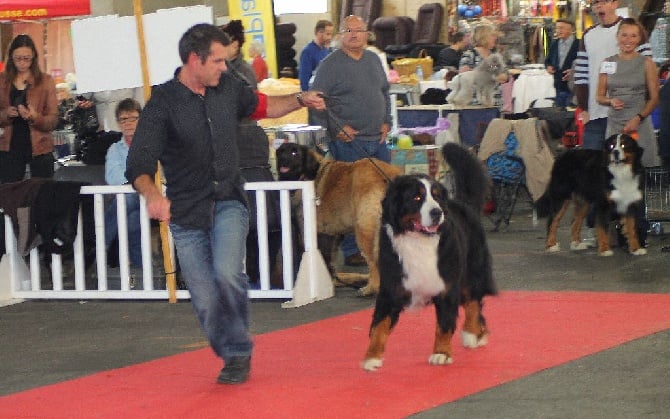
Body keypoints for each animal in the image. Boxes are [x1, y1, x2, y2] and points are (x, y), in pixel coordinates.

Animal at [362, 144, 498, 370]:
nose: (436, 212)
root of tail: (463, 204)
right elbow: (379, 325)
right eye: (416, 198)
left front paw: (441, 353)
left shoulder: (447, 286)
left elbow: (444, 324)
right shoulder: (391, 288)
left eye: (436, 197)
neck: (419, 242)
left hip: (472, 270)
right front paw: (372, 357)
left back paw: (472, 333)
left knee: (473, 302)